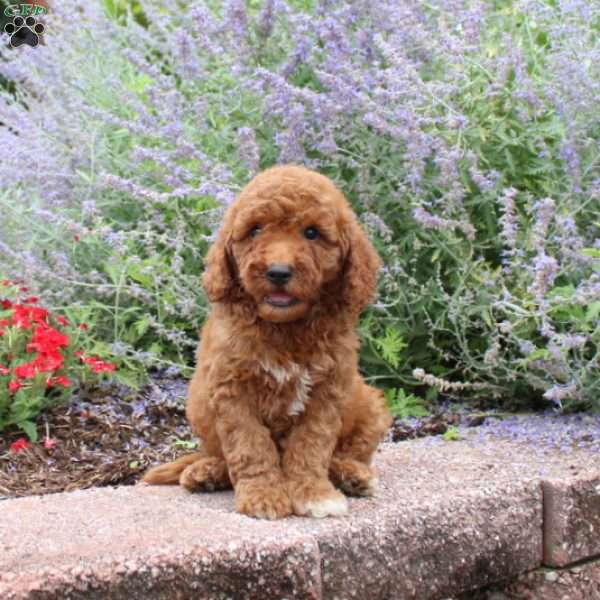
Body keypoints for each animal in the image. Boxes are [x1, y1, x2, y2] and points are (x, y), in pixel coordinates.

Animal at [143, 165, 392, 520]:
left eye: (312, 233)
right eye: (255, 229)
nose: (278, 272)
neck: (284, 329)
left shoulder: (328, 390)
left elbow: (312, 444)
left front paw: (314, 493)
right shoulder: (232, 389)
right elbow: (250, 446)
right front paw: (264, 495)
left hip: (369, 403)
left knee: (344, 453)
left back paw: (352, 474)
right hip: (199, 404)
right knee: (217, 454)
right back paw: (205, 472)